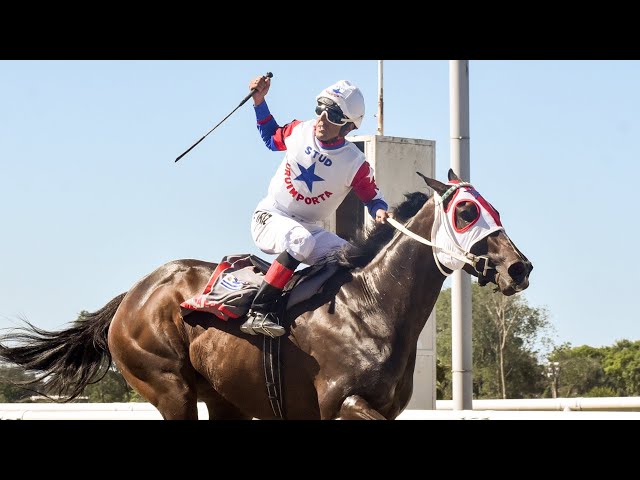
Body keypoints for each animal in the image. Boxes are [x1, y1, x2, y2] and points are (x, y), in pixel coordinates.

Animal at [0, 169, 528, 420]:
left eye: (494, 208)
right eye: (465, 211)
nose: (519, 267)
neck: (372, 308)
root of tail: (134, 293)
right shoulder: (338, 402)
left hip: (224, 398)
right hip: (168, 386)